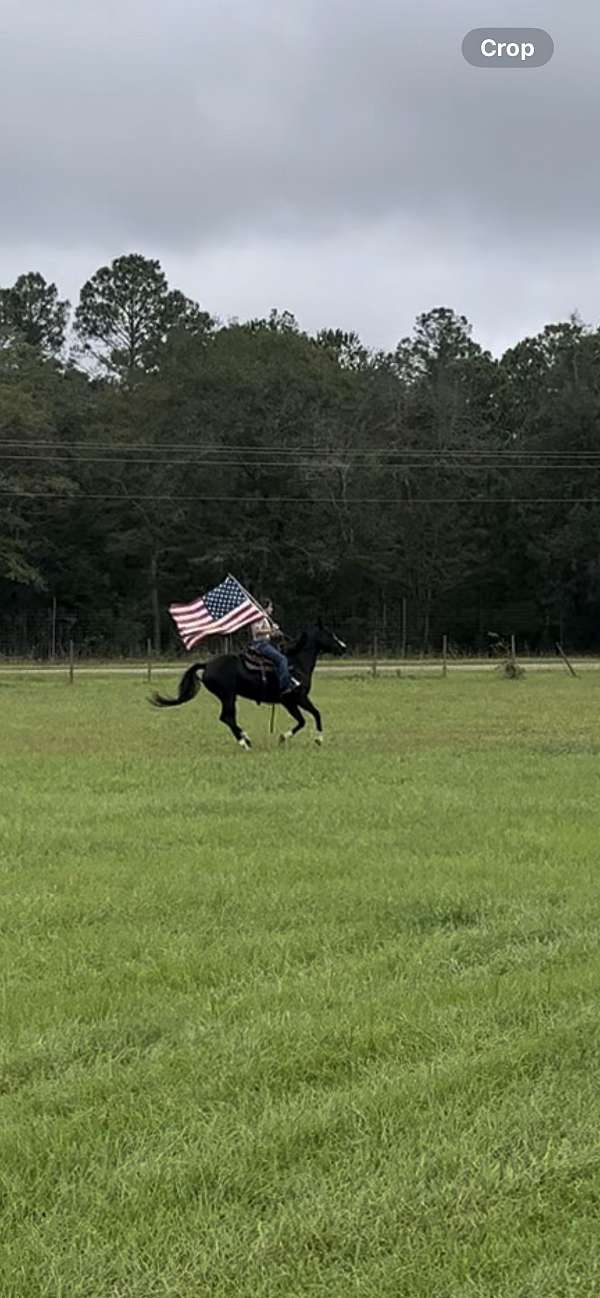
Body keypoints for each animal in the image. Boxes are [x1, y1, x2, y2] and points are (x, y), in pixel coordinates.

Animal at [151, 620, 348, 747]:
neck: (296, 663)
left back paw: (245, 738)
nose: (343, 647)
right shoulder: (297, 698)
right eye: (329, 634)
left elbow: (303, 720)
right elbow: (315, 715)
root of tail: (207, 665)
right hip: (228, 696)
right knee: (226, 717)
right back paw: (244, 741)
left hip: (228, 697)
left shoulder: (290, 702)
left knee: (228, 718)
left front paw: (284, 738)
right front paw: (318, 739)